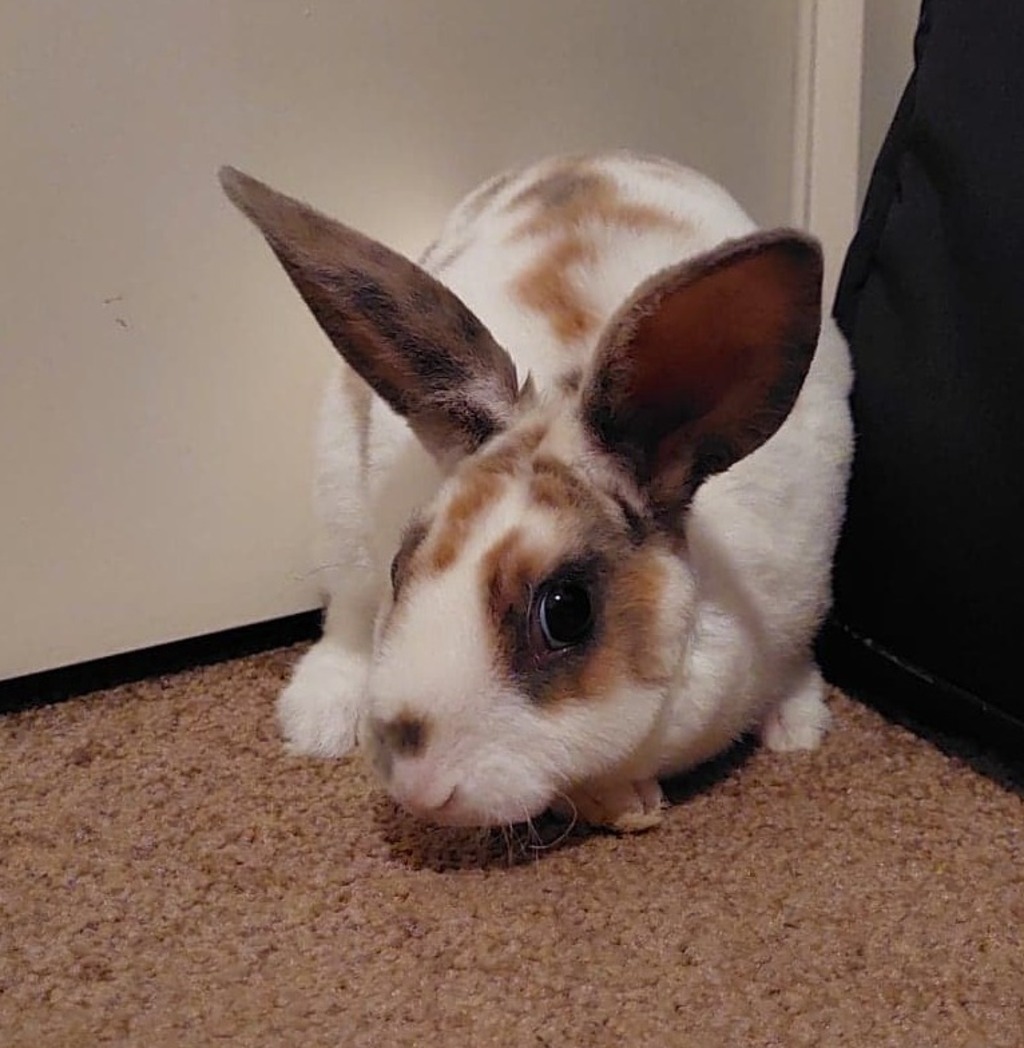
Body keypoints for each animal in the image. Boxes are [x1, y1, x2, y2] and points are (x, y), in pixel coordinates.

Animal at [219, 151, 853, 832]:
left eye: (566, 611)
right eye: (401, 566)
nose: (416, 786)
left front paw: (794, 726)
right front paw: (626, 801)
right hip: (339, 493)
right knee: (345, 612)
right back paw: (317, 721)